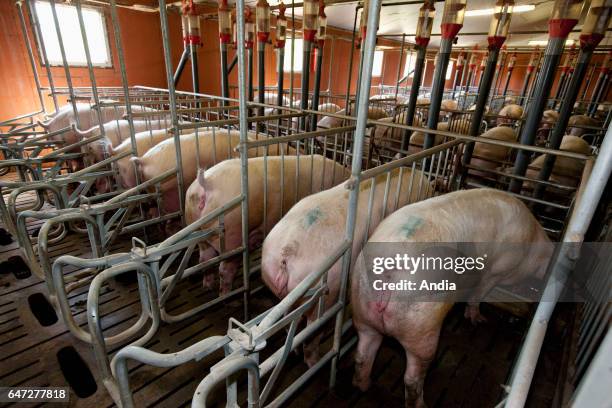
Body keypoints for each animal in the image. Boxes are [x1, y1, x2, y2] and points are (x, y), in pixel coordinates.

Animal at [186, 155, 350, 294]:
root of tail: (207, 183)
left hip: (198, 230)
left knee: (204, 259)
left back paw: (207, 287)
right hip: (232, 236)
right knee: (224, 269)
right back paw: (225, 293)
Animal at [262, 167, 430, 366]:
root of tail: (286, 251)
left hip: (282, 292)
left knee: (288, 325)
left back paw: (294, 351)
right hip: (326, 292)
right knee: (312, 332)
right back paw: (315, 360)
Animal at [352, 189, 552, 408]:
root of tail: (386, 272)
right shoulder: (497, 270)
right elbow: (479, 292)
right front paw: (478, 320)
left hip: (362, 309)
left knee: (363, 354)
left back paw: (364, 386)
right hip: (422, 326)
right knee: (412, 377)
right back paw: (421, 404)